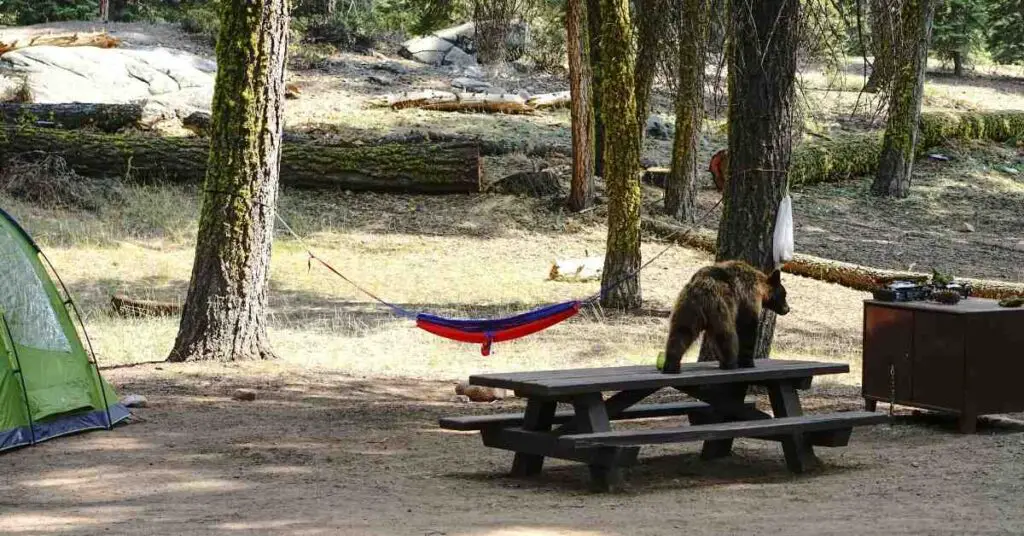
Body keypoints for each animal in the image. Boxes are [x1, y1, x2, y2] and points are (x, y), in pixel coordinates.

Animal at [659, 261, 794, 373]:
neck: (761, 290)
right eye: (785, 294)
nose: (787, 309)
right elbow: (748, 327)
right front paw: (748, 362)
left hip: (688, 309)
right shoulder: (748, 299)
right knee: (725, 334)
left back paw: (671, 365)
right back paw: (729, 362)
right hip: (721, 307)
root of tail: (701, 289)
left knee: (681, 332)